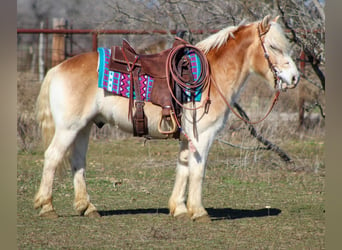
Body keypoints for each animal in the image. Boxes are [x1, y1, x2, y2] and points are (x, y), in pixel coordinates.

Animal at [32, 15, 300, 221]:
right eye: (274, 47)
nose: (295, 78)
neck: (213, 74)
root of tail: (57, 68)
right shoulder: (202, 136)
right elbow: (197, 171)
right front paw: (198, 211)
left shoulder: (187, 138)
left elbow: (183, 168)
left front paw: (179, 209)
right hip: (68, 128)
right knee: (52, 157)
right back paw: (47, 207)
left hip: (83, 128)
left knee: (78, 163)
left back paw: (87, 207)